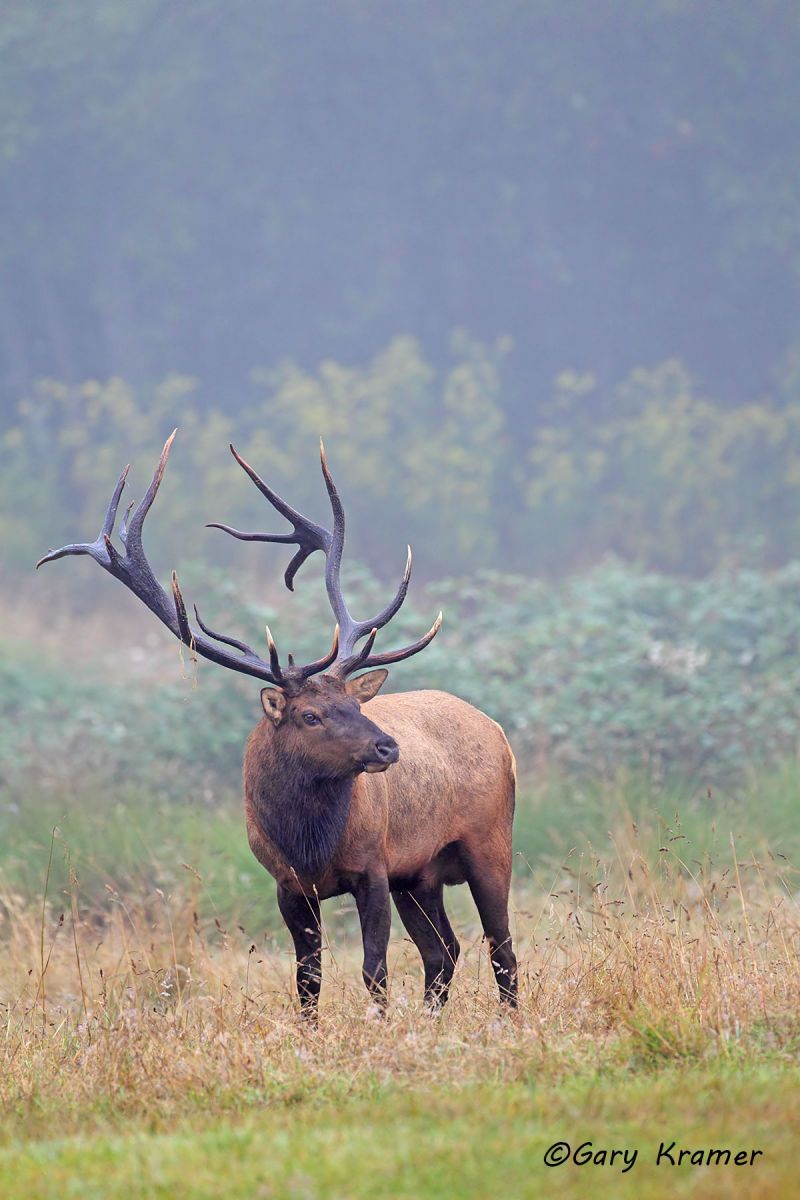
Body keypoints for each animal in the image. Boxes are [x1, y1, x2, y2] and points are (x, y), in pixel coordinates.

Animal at [37, 432, 518, 1018]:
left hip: (489, 842)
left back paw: (510, 1022)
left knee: (500, 947)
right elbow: (307, 980)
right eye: (310, 716)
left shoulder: (374, 868)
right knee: (444, 950)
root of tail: (496, 730)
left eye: (356, 707)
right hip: (420, 874)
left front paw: (379, 1024)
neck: (309, 843)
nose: (387, 747)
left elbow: (374, 971)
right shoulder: (289, 885)